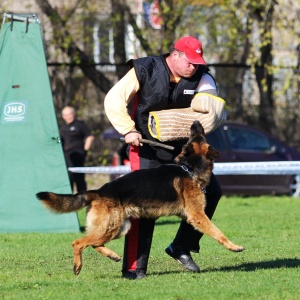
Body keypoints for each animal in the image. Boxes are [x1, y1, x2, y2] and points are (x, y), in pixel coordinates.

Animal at [37, 120, 244, 276]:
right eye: (197, 135)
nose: (195, 122)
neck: (189, 168)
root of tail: (98, 191)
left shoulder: (191, 216)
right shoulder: (198, 216)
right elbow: (217, 232)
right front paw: (233, 246)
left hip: (119, 228)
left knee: (95, 243)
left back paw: (112, 255)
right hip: (111, 226)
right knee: (79, 242)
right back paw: (77, 266)